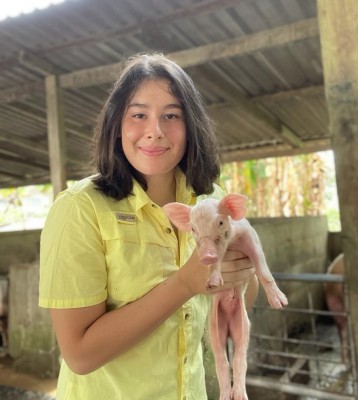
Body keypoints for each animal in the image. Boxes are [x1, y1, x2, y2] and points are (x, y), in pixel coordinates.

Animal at [163, 194, 288, 400]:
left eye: (220, 222)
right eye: (193, 228)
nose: (206, 255)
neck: (232, 243)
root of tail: (229, 326)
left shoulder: (250, 237)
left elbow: (263, 270)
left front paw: (280, 304)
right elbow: (215, 266)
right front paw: (213, 284)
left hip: (243, 325)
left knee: (239, 358)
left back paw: (240, 395)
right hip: (214, 327)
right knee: (222, 363)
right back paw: (227, 395)